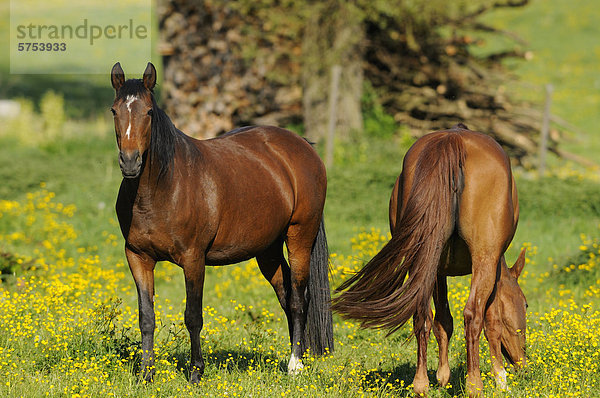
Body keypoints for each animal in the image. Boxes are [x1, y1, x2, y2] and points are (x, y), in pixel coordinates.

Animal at [109, 62, 332, 382]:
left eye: (149, 111)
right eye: (115, 111)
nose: (130, 162)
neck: (163, 188)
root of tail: (302, 145)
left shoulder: (193, 259)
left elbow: (193, 316)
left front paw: (195, 372)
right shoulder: (138, 257)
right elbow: (146, 316)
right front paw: (145, 375)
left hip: (300, 236)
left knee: (299, 298)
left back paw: (295, 364)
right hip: (268, 250)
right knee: (286, 294)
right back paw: (296, 354)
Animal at [332, 123, 524, 394]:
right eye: (525, 305)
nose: (523, 363)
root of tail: (454, 139)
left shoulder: (438, 269)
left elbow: (443, 320)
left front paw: (442, 377)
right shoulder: (492, 265)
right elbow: (491, 321)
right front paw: (500, 379)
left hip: (423, 258)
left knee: (421, 313)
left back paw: (421, 384)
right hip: (483, 259)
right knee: (472, 315)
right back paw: (474, 385)